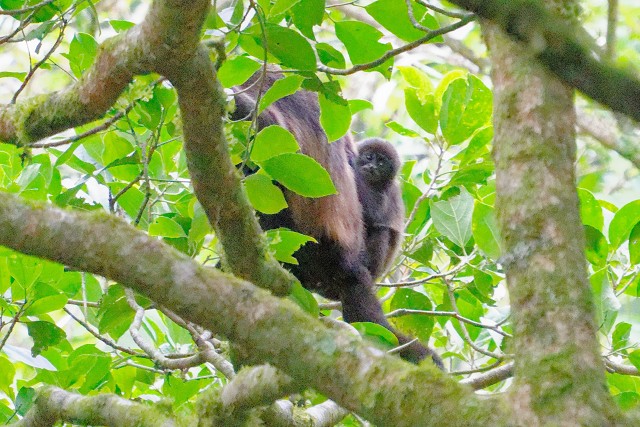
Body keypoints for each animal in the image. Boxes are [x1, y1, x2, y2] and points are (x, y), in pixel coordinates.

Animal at [353, 138, 404, 280]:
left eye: (381, 164)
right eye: (369, 157)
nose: (372, 167)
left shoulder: (387, 193)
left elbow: (372, 215)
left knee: (381, 230)